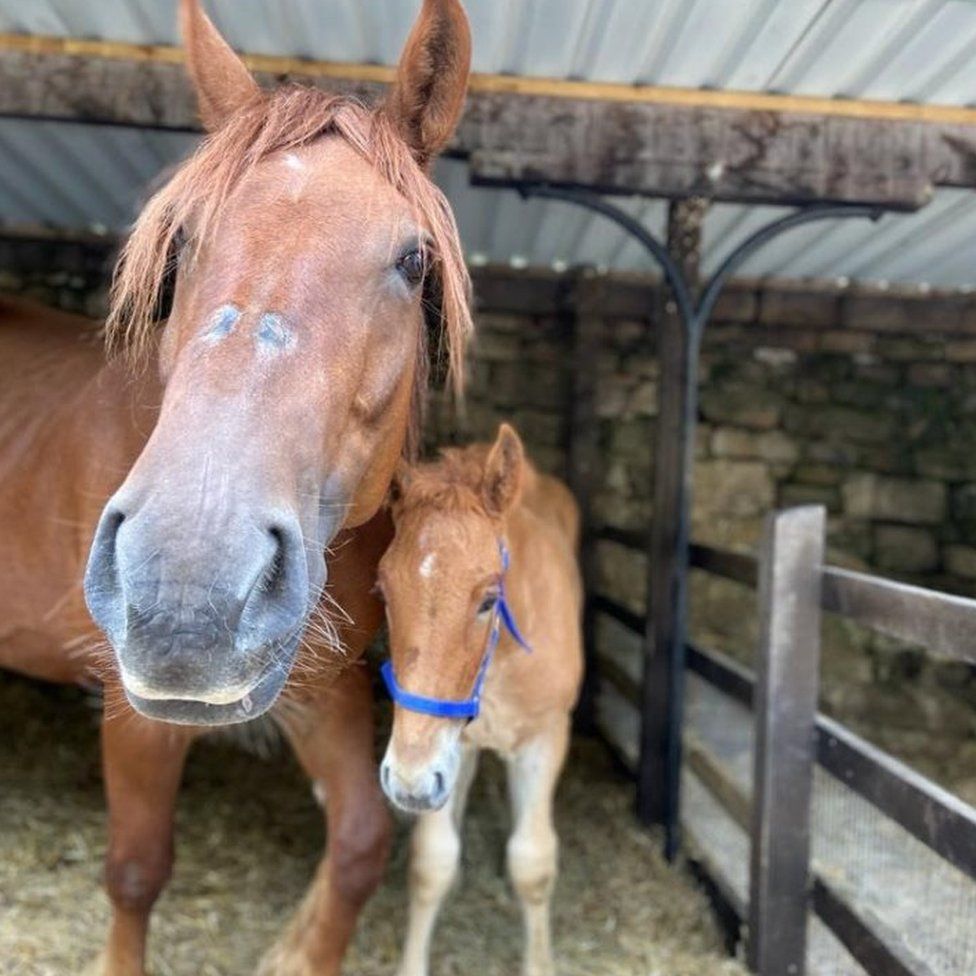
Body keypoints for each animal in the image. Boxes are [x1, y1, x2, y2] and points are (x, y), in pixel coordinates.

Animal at [0, 3, 472, 972]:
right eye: (182, 242)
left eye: (412, 260)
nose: (186, 593)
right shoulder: (134, 705)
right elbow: (136, 870)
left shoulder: (322, 691)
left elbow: (360, 844)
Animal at [378, 428, 584, 976]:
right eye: (382, 592)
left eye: (489, 600)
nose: (405, 782)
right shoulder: (447, 750)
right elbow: (432, 861)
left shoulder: (546, 738)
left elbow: (533, 862)